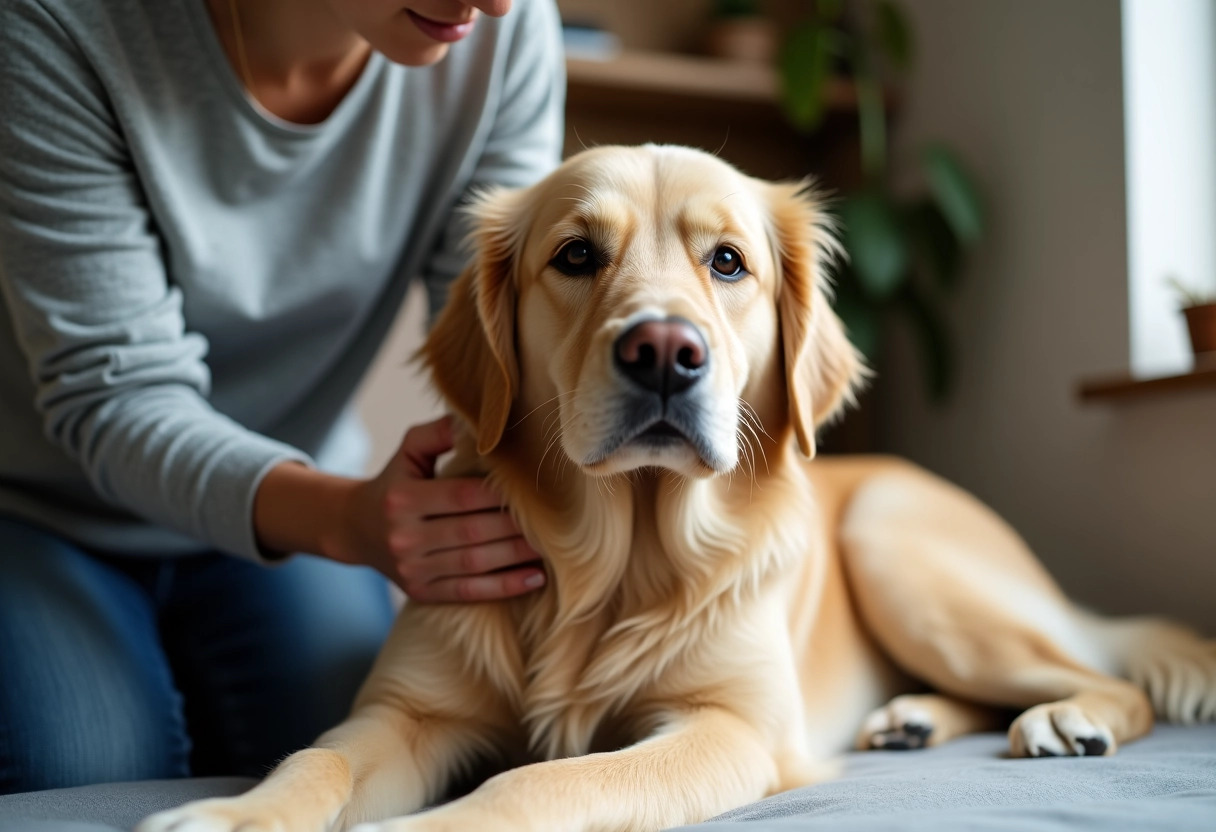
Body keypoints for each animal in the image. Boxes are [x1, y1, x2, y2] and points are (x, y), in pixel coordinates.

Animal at [144, 145, 1216, 832]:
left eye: (728, 262)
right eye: (576, 254)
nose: (665, 351)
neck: (615, 558)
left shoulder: (730, 730)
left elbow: (542, 785)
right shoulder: (409, 713)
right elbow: (313, 755)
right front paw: (229, 814)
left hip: (898, 554)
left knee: (1107, 679)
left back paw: (1065, 718)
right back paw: (910, 720)